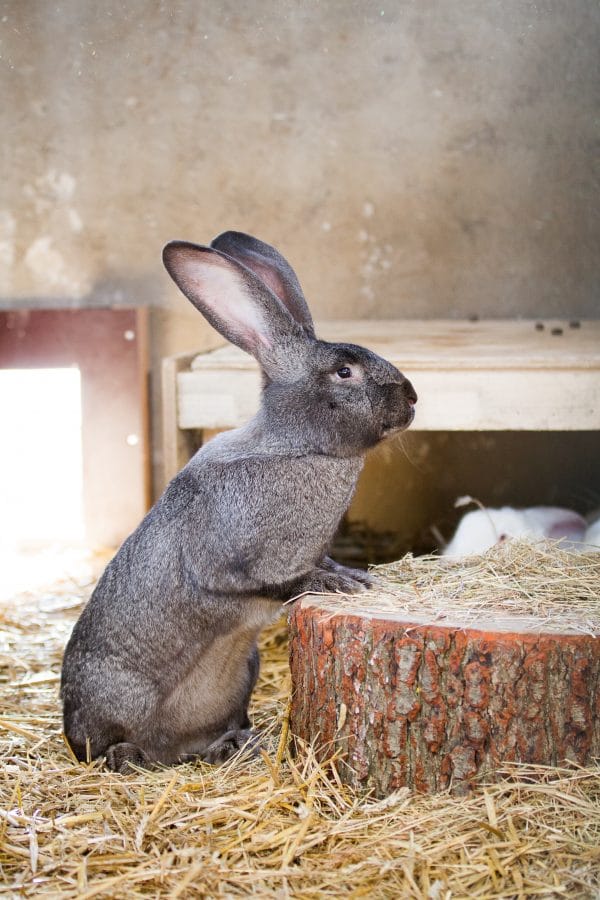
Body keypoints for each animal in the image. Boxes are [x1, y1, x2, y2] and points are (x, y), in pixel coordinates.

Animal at [61, 232, 418, 772]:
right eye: (344, 371)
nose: (413, 397)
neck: (296, 447)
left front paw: (354, 576)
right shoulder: (230, 561)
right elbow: (273, 581)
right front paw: (337, 584)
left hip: (241, 675)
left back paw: (235, 744)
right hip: (115, 698)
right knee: (101, 748)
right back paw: (132, 755)